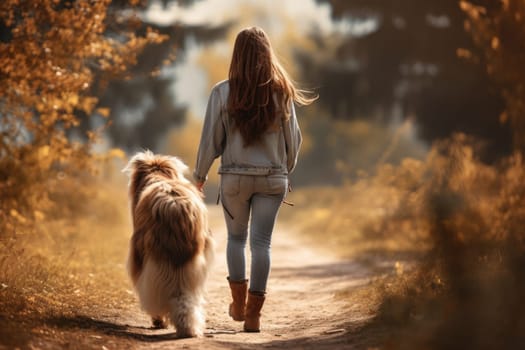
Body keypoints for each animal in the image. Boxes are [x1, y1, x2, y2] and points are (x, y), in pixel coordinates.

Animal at [123, 150, 213, 336]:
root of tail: (174, 205)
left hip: (153, 257)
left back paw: (161, 319)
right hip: (192, 260)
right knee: (185, 296)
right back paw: (187, 326)